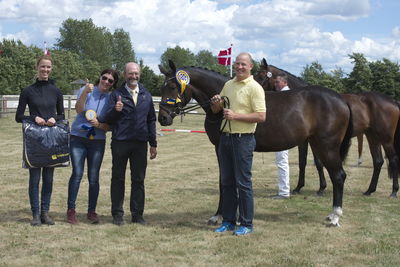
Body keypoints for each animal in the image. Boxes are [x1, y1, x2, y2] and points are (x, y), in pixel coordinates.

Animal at [158, 61, 352, 228]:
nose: (163, 118)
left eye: (173, 86)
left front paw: (220, 216)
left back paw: (335, 217)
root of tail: (340, 99)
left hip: (327, 147)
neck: (222, 105)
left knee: (338, 176)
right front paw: (227, 216)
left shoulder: (222, 148)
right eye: (162, 87)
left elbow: (225, 181)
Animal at [256, 59, 400, 200]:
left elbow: (312, 162)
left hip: (386, 138)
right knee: (378, 161)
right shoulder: (310, 141)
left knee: (393, 160)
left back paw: (393, 192)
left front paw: (314, 188)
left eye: (261, 76)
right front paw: (308, 187)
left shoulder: (308, 141)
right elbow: (309, 162)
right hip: (372, 136)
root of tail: (392, 101)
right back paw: (369, 190)